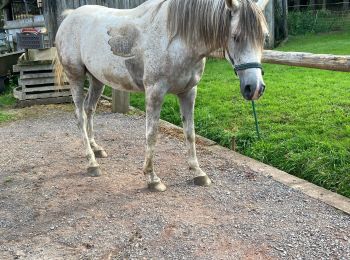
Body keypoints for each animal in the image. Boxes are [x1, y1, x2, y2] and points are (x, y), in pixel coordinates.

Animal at [54, 0, 268, 191]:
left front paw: (198, 172)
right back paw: (91, 163)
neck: (176, 39)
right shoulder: (155, 92)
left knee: (90, 109)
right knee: (80, 116)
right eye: (235, 36)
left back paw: (96, 148)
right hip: (76, 77)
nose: (255, 88)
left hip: (97, 79)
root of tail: (69, 17)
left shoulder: (188, 92)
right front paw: (152, 178)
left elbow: (190, 132)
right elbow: (152, 134)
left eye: (264, 37)